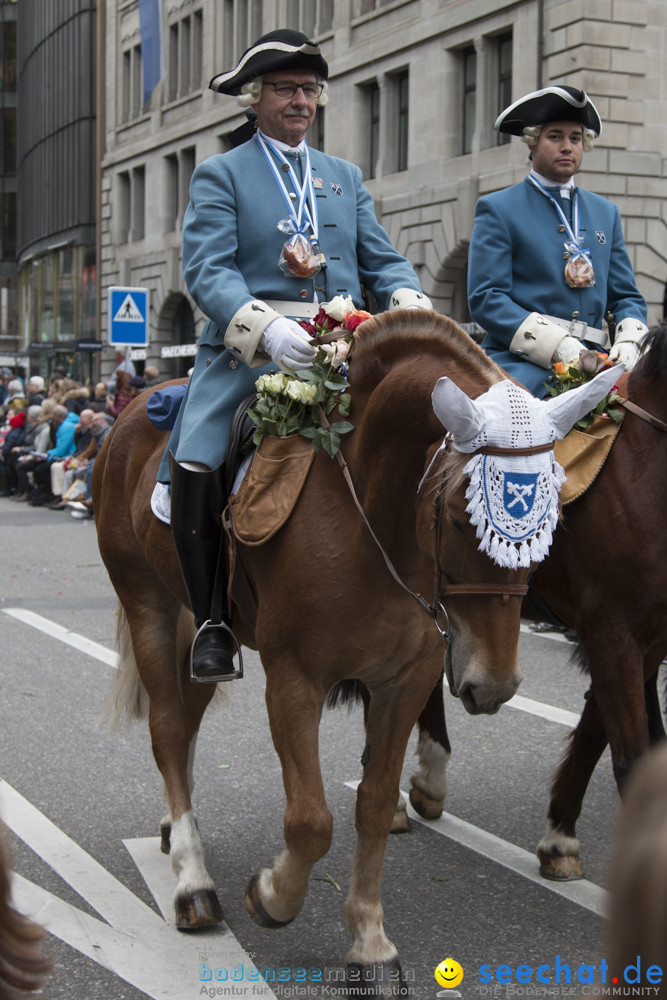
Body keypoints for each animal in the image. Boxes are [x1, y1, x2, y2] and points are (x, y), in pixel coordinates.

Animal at [91, 308, 620, 988]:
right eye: (459, 517)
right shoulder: (294, 681)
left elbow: (372, 806)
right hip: (148, 604)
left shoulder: (405, 681)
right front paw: (272, 896)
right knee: (165, 729)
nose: (493, 685)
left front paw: (370, 942)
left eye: (555, 517)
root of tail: (137, 406)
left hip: (200, 622)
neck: (368, 515)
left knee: (184, 724)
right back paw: (192, 882)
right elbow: (311, 820)